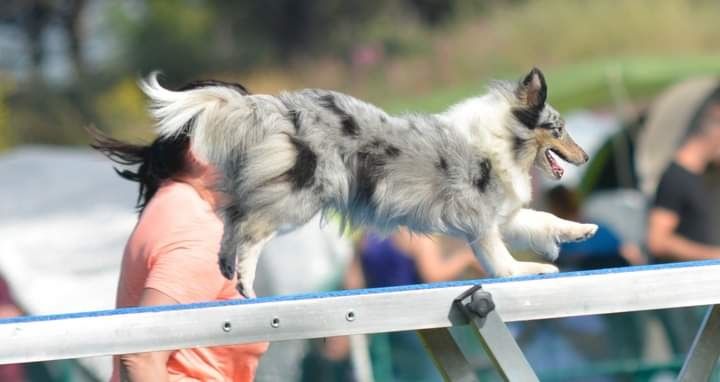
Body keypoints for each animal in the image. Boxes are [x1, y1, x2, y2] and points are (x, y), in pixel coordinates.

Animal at [139, 67, 596, 296]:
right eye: (559, 130)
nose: (587, 156)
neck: (506, 137)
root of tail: (277, 108)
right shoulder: (481, 219)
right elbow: (499, 259)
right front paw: (526, 270)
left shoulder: (504, 213)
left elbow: (543, 220)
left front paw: (583, 230)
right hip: (299, 196)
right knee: (251, 230)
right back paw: (246, 284)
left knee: (232, 219)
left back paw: (225, 265)